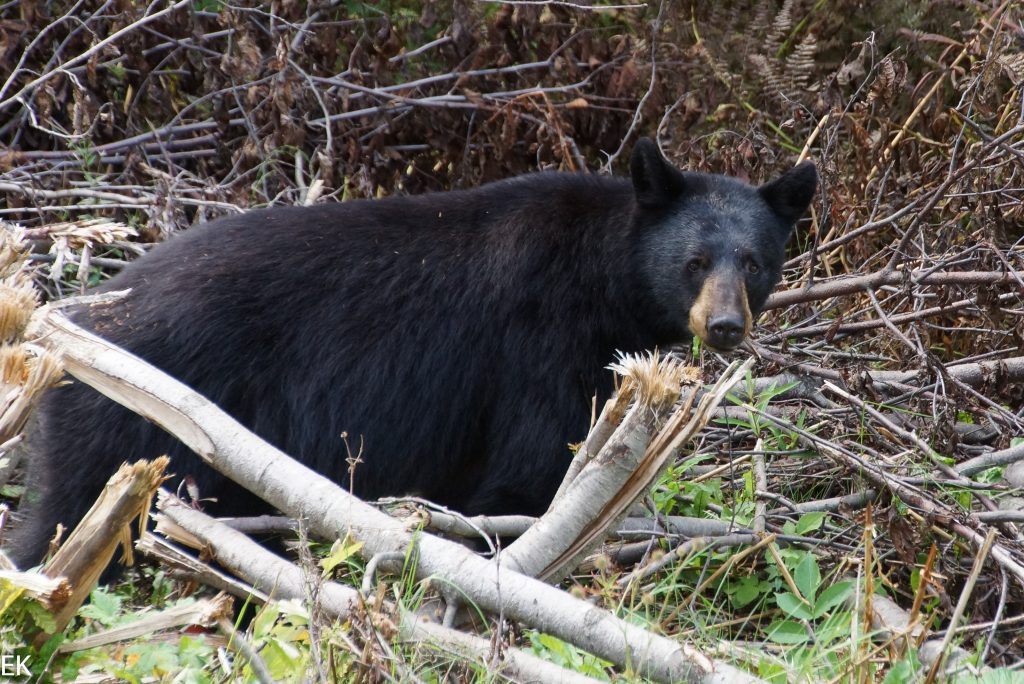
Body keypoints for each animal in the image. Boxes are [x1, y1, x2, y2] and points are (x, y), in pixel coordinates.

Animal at [4, 137, 811, 565]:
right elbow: (527, 473)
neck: (602, 275)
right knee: (69, 518)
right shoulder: (539, 347)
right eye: (695, 262)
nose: (725, 326)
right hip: (134, 422)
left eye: (756, 263)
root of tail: (68, 332)